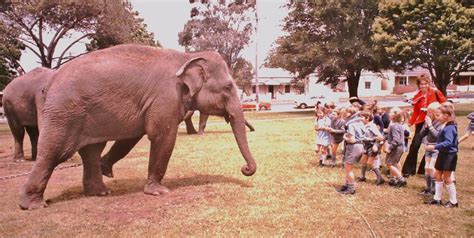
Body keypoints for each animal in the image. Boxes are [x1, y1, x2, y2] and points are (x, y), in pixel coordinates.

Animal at [19, 43, 256, 209]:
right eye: (228, 88)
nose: (245, 170)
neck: (186, 57)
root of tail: (50, 81)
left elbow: (133, 135)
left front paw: (107, 169)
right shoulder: (165, 99)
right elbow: (162, 137)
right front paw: (159, 192)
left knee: (91, 151)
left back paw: (101, 192)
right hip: (63, 113)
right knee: (54, 153)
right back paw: (33, 205)